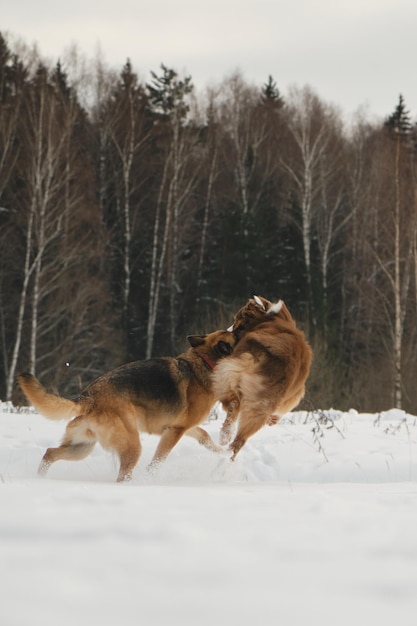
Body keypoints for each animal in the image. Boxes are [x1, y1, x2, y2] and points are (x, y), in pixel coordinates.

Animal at [18, 330, 234, 480]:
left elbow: (205, 437)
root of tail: (88, 397)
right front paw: (150, 478)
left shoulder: (179, 428)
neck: (204, 361)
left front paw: (225, 452)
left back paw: (39, 479)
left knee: (49, 453)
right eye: (235, 333)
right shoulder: (175, 431)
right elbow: (158, 460)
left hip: (81, 447)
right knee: (122, 476)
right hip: (131, 446)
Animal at [213, 292, 310, 458]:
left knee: (235, 409)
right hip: (262, 403)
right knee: (239, 438)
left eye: (237, 319)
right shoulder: (295, 393)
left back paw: (226, 435)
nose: (227, 330)